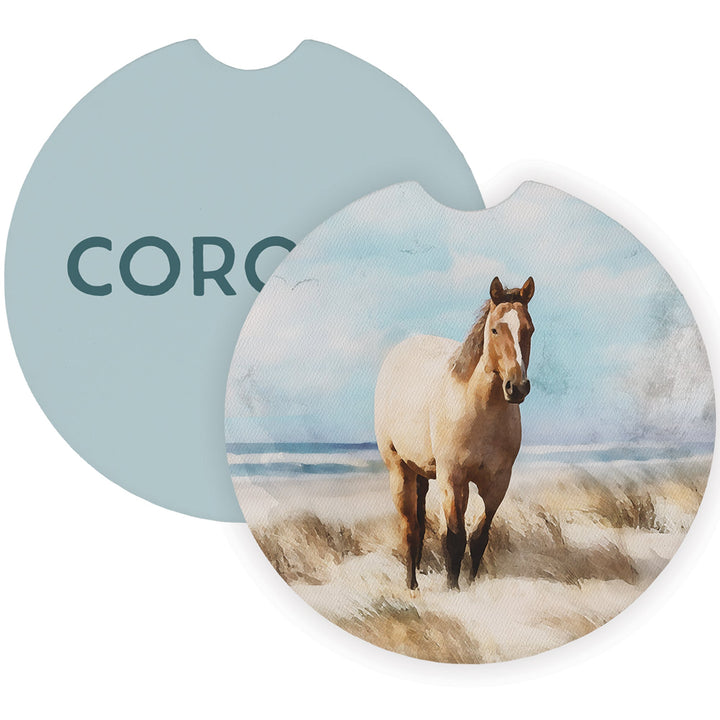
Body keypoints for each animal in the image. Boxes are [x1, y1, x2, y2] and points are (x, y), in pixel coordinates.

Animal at [374, 276, 535, 590]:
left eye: (529, 329)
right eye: (495, 329)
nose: (517, 387)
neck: (479, 409)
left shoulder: (498, 483)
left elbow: (480, 536)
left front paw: (470, 584)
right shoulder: (452, 478)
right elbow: (455, 538)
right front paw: (453, 588)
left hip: (423, 472)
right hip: (400, 470)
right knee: (410, 528)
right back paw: (412, 584)